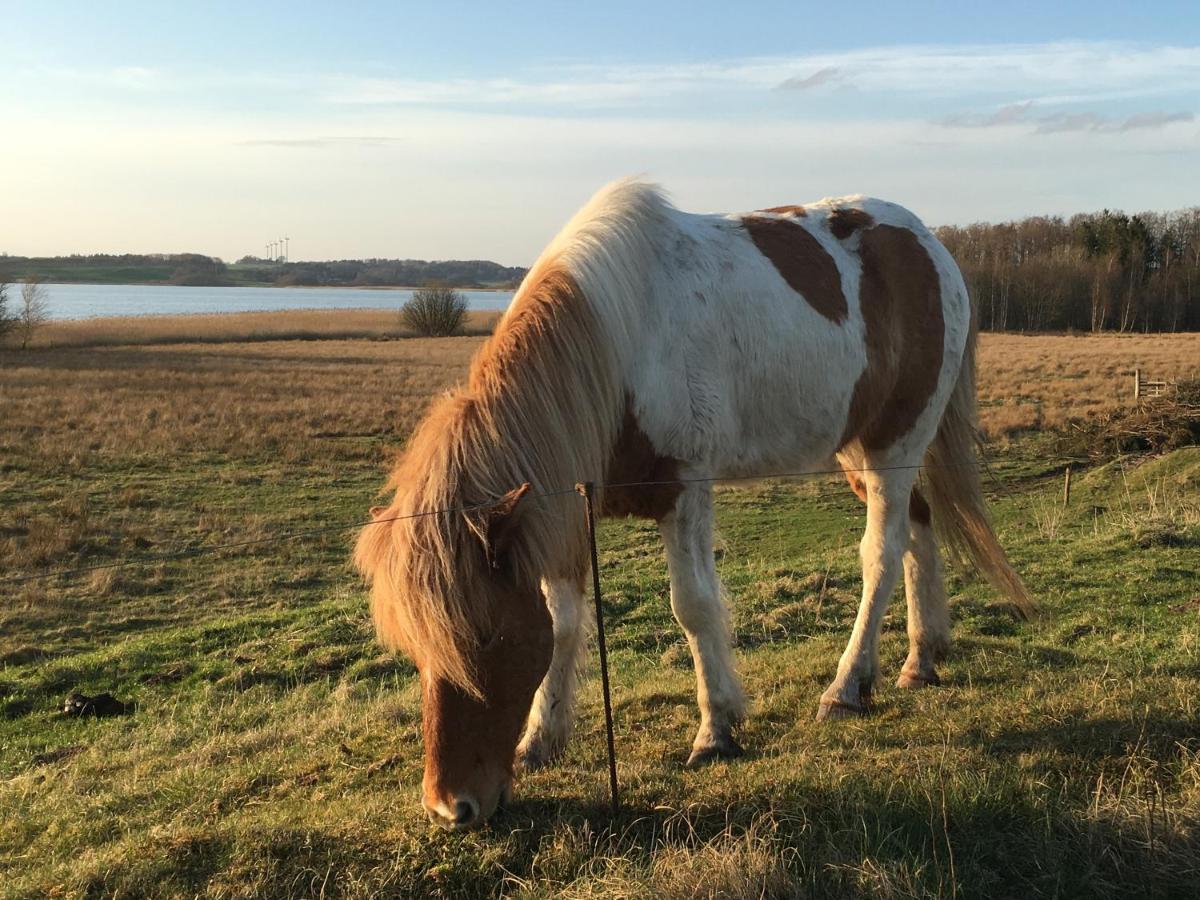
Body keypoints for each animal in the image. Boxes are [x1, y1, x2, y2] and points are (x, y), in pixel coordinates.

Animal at [352, 180, 1032, 835]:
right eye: (417, 648)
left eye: (487, 638)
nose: (451, 808)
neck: (619, 346)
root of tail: (933, 248)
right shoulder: (562, 509)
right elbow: (564, 620)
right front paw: (541, 739)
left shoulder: (684, 493)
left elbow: (694, 607)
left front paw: (716, 730)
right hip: (862, 451)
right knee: (918, 530)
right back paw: (922, 657)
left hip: (896, 443)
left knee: (883, 554)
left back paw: (846, 686)